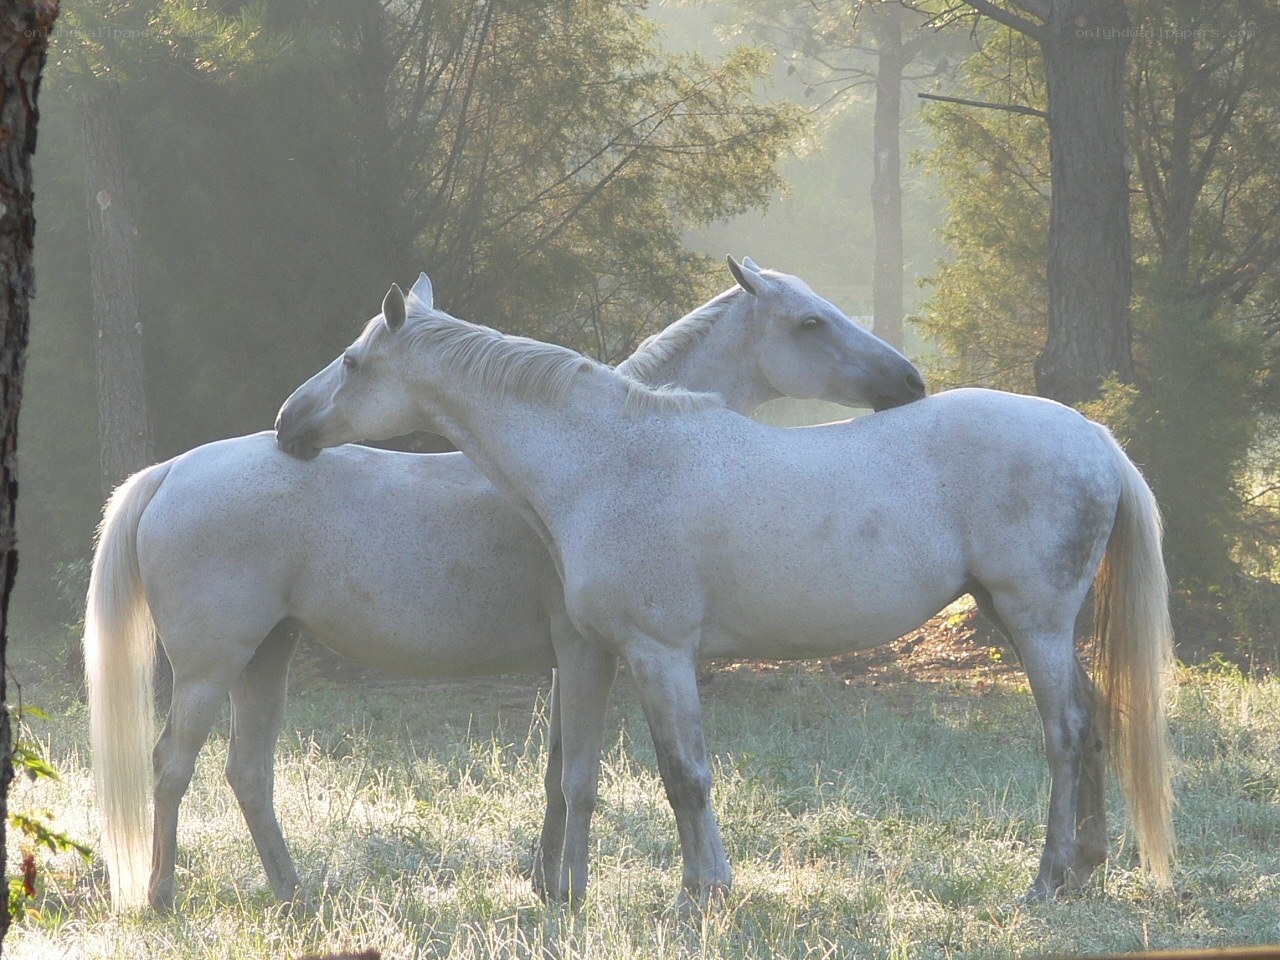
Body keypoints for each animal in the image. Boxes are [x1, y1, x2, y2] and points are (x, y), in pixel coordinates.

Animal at [84, 258, 925, 912]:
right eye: (811, 323)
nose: (911, 382)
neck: (585, 458)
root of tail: (173, 471)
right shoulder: (585, 650)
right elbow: (577, 773)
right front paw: (564, 888)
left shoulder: (568, 658)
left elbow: (555, 773)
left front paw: (547, 883)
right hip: (209, 667)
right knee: (173, 767)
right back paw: (161, 895)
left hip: (269, 654)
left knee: (248, 773)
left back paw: (293, 892)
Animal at [276, 277, 1175, 907]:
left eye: (353, 362)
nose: (288, 423)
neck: (605, 455)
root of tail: (1091, 433)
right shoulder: (604, 654)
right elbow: (599, 770)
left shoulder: (658, 653)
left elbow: (684, 775)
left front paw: (701, 894)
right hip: (1024, 618)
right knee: (1093, 720)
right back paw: (1087, 870)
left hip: (1037, 620)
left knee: (1065, 733)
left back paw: (1047, 881)